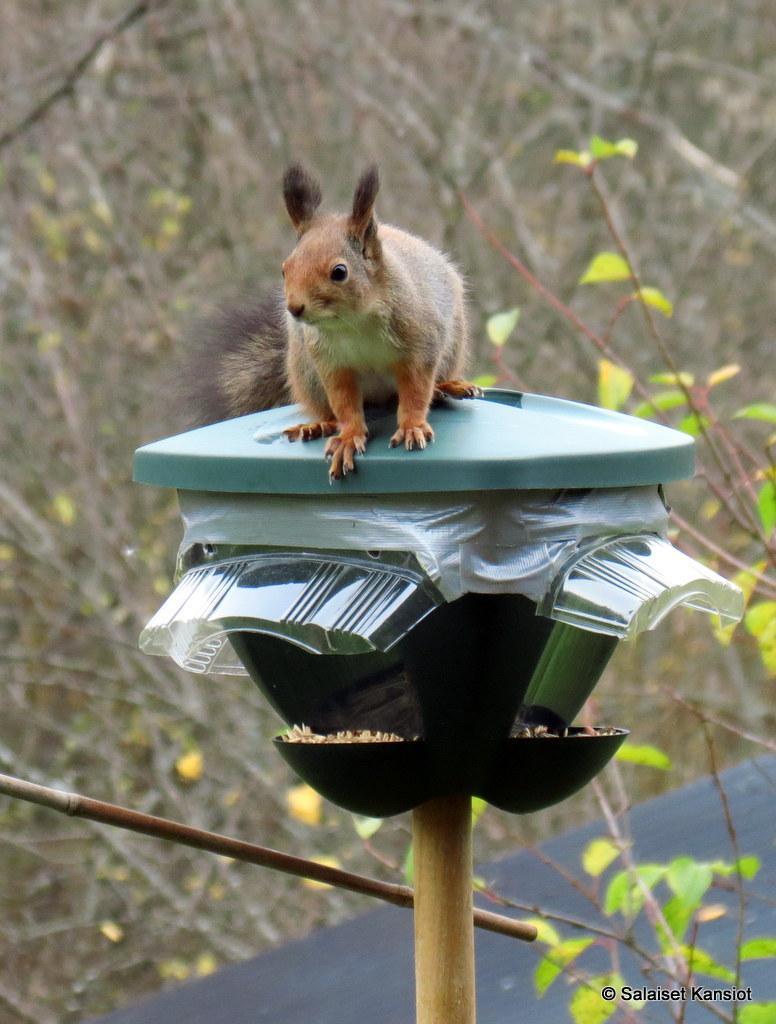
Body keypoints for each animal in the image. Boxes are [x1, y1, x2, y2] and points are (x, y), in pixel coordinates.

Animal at [184, 165, 481, 479]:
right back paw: (318, 425)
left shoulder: (420, 345)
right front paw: (348, 438)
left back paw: (448, 386)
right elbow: (345, 404)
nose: (294, 308)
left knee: (434, 382)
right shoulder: (331, 364)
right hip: (306, 372)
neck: (353, 322)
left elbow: (415, 392)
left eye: (340, 272)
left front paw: (412, 426)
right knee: (328, 409)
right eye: (285, 268)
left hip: (451, 346)